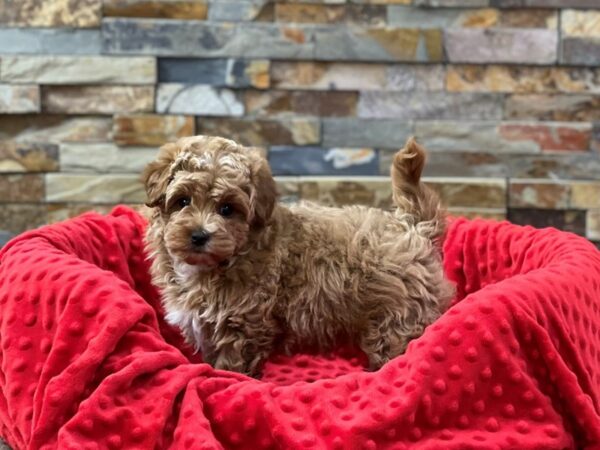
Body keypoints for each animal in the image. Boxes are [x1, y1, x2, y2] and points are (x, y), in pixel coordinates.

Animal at [144, 134, 454, 376]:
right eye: (182, 201)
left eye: (227, 209)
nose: (199, 235)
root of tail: (411, 225)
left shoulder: (243, 323)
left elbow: (233, 363)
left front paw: (227, 377)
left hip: (397, 318)